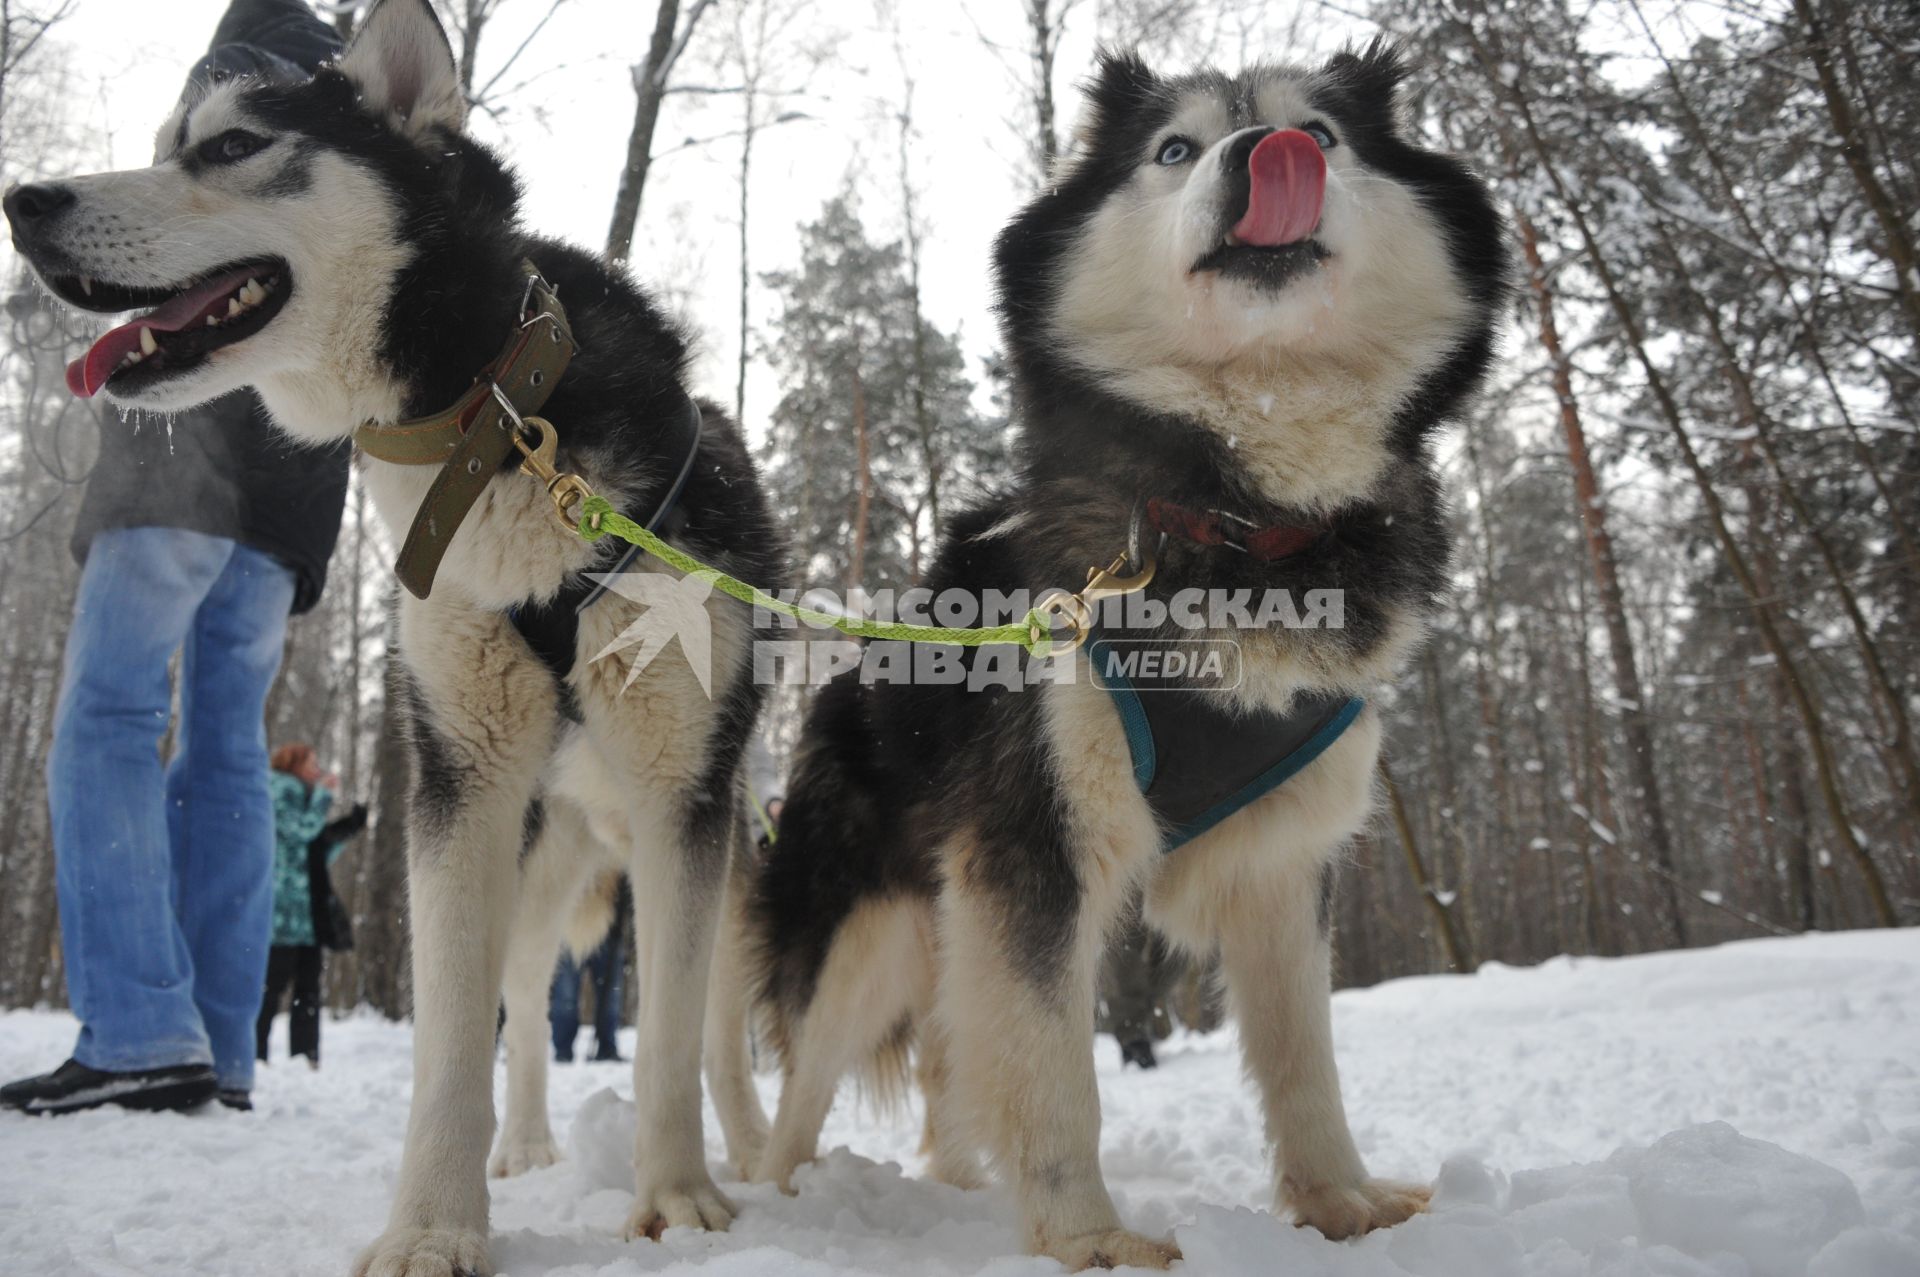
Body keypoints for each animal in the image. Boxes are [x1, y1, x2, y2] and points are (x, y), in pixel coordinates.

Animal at [3, 2, 779, 1275]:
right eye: (166, 144)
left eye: (231, 146)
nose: (23, 201)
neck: (503, 424)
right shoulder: (459, 774)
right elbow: (457, 1035)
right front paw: (434, 1224)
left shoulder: (682, 780)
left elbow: (668, 1030)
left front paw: (677, 1200)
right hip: (541, 848)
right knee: (527, 999)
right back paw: (526, 1146)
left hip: (715, 835)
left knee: (711, 1014)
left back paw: (755, 1148)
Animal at [721, 39, 1512, 1267]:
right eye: (1175, 148)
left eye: (1321, 133)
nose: (1265, 153)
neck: (1233, 523)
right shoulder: (1034, 846)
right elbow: (1055, 1076)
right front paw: (1087, 1237)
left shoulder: (1285, 862)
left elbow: (1305, 1060)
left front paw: (1342, 1202)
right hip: (870, 931)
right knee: (808, 1079)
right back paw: (792, 1199)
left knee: (950, 1066)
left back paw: (952, 1185)